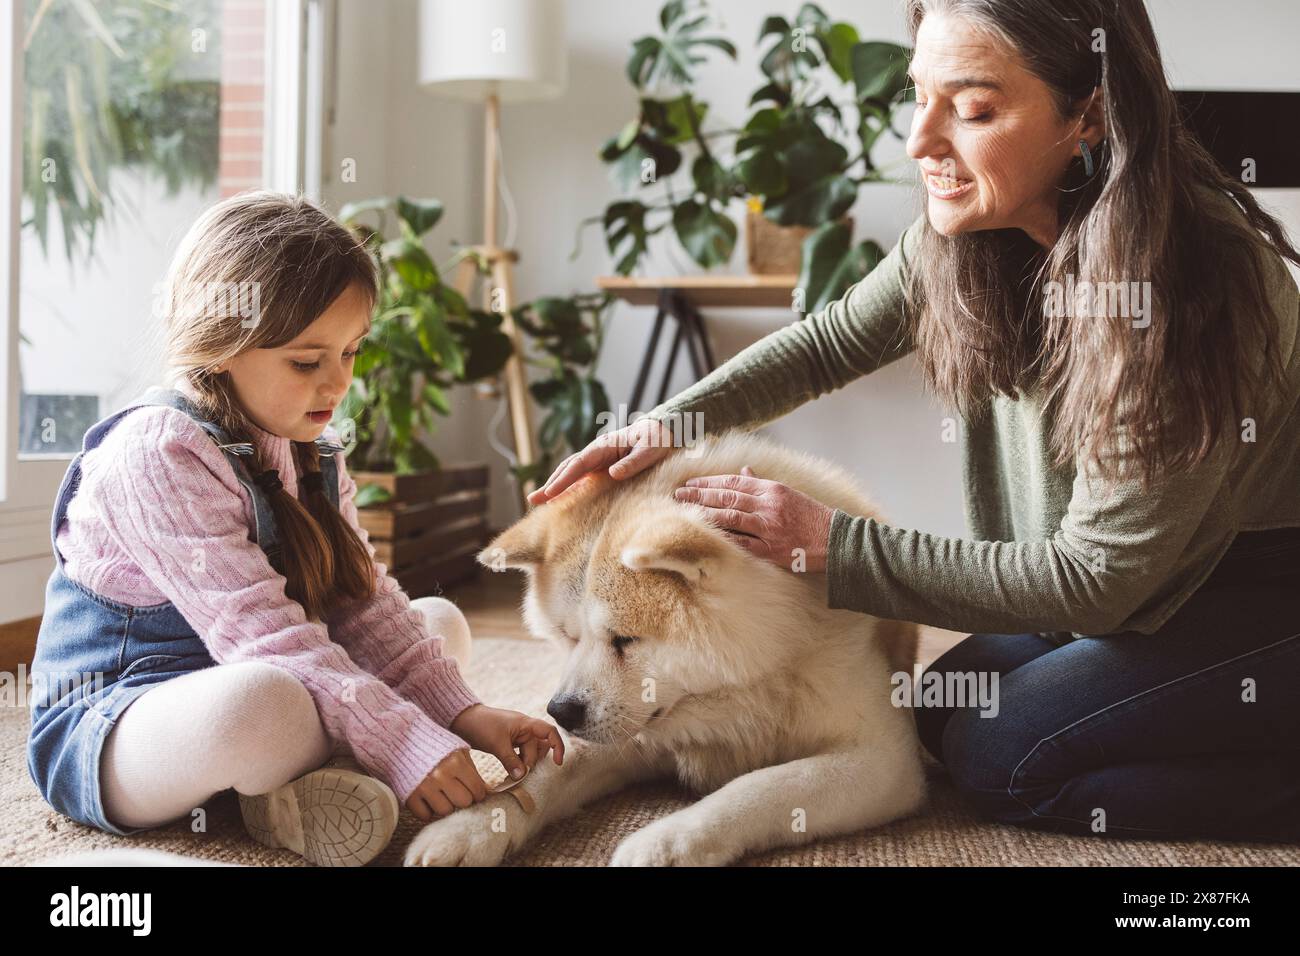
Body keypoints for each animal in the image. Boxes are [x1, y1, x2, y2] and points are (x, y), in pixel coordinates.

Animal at [405, 429, 925, 868]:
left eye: (624, 639)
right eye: (569, 637)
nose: (560, 711)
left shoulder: (881, 759)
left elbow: (762, 788)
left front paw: (665, 841)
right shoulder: (629, 733)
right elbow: (547, 772)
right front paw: (471, 827)